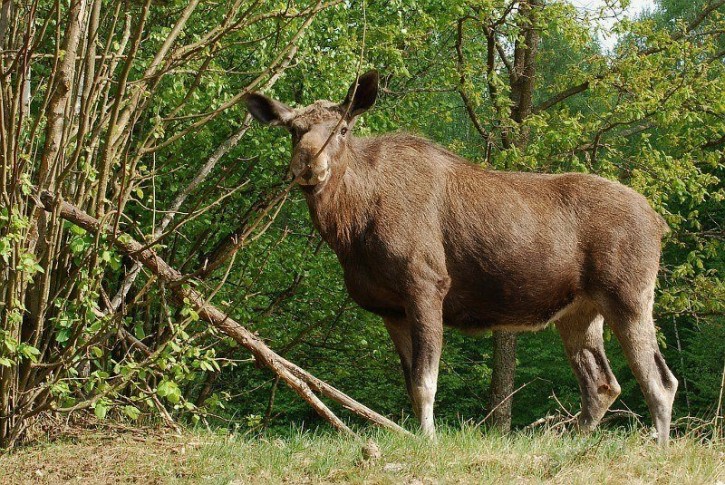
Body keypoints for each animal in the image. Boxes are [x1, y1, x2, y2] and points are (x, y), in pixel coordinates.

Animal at [245, 69, 680, 442]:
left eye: (343, 129)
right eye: (293, 130)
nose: (308, 163)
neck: (351, 231)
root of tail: (660, 222)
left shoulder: (426, 284)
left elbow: (425, 382)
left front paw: (429, 441)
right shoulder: (390, 308)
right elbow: (410, 383)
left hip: (629, 294)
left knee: (660, 381)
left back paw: (657, 448)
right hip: (579, 311)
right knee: (602, 384)